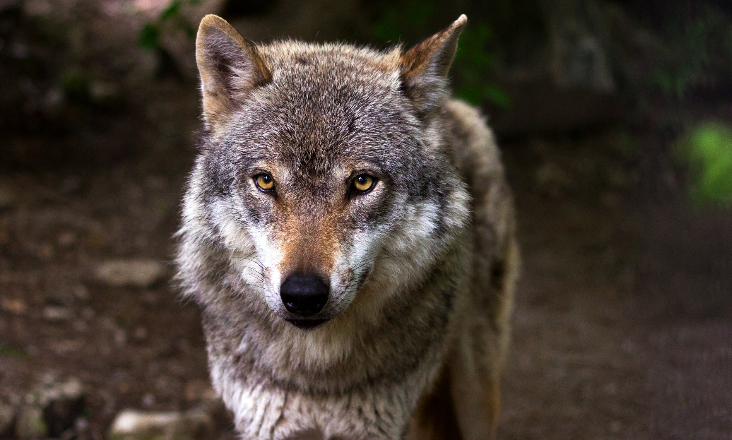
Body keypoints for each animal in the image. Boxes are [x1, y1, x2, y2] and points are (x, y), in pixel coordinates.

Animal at [176, 13, 520, 440]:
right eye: (266, 181)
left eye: (362, 182)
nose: (303, 294)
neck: (318, 375)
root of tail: (453, 108)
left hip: (475, 393)